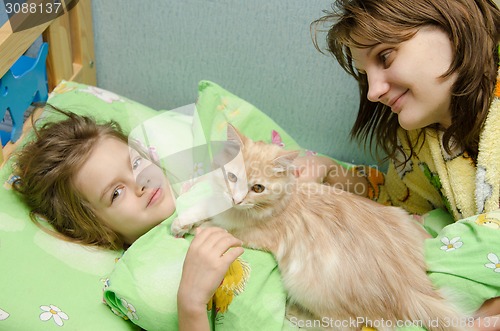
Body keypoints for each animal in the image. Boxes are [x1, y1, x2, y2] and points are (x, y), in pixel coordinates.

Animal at [171, 125, 464, 331]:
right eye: (232, 177)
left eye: (258, 188)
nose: (237, 199)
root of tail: (411, 289)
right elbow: (205, 206)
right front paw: (182, 220)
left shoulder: (248, 234)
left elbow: (214, 225)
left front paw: (192, 227)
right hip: (402, 218)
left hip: (305, 284)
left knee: (347, 325)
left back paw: (295, 315)